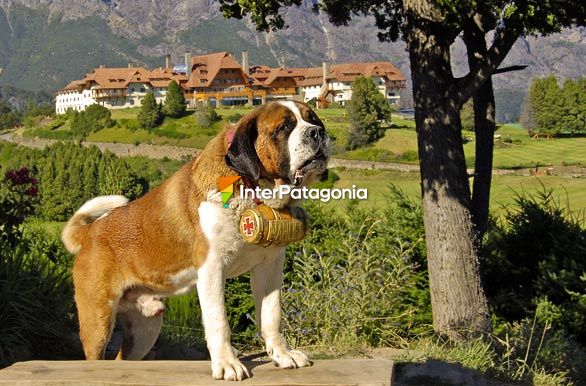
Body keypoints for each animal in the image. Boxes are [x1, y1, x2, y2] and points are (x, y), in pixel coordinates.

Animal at [63, 99, 330, 380]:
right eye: (284, 127)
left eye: (314, 119)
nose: (317, 133)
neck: (250, 186)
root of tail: (91, 232)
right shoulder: (211, 268)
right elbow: (219, 321)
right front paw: (227, 363)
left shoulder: (269, 266)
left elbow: (271, 314)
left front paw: (282, 355)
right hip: (98, 319)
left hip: (146, 327)